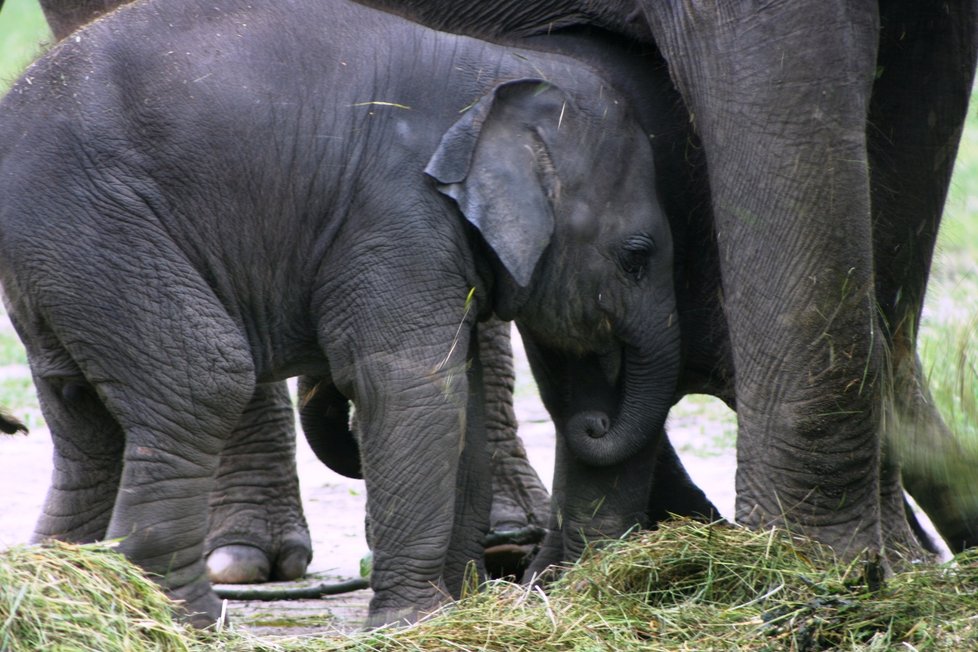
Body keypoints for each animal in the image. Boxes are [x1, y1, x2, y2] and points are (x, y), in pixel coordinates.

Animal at [0, 0, 676, 628]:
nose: (592, 423)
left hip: (61, 256)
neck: (502, 75)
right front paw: (414, 621)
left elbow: (458, 397)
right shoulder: (397, 212)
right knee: (204, 380)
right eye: (637, 258)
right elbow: (409, 387)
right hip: (96, 223)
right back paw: (184, 617)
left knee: (80, 410)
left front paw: (457, 605)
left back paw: (76, 588)